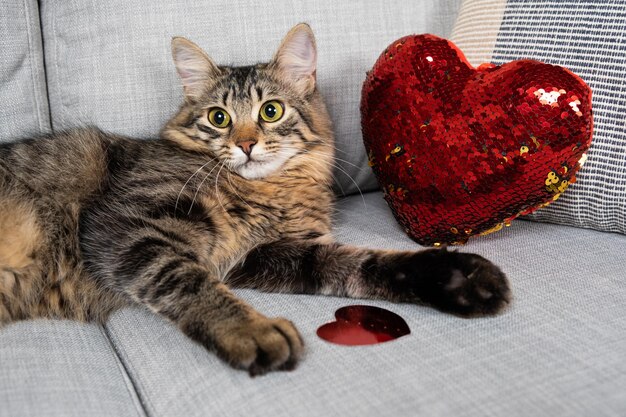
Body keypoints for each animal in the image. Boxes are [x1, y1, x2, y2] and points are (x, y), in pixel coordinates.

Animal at [0, 22, 508, 374]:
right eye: (219, 118)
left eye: (271, 110)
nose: (245, 144)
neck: (267, 190)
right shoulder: (126, 225)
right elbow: (186, 279)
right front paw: (253, 331)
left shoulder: (262, 254)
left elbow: (358, 264)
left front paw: (455, 278)